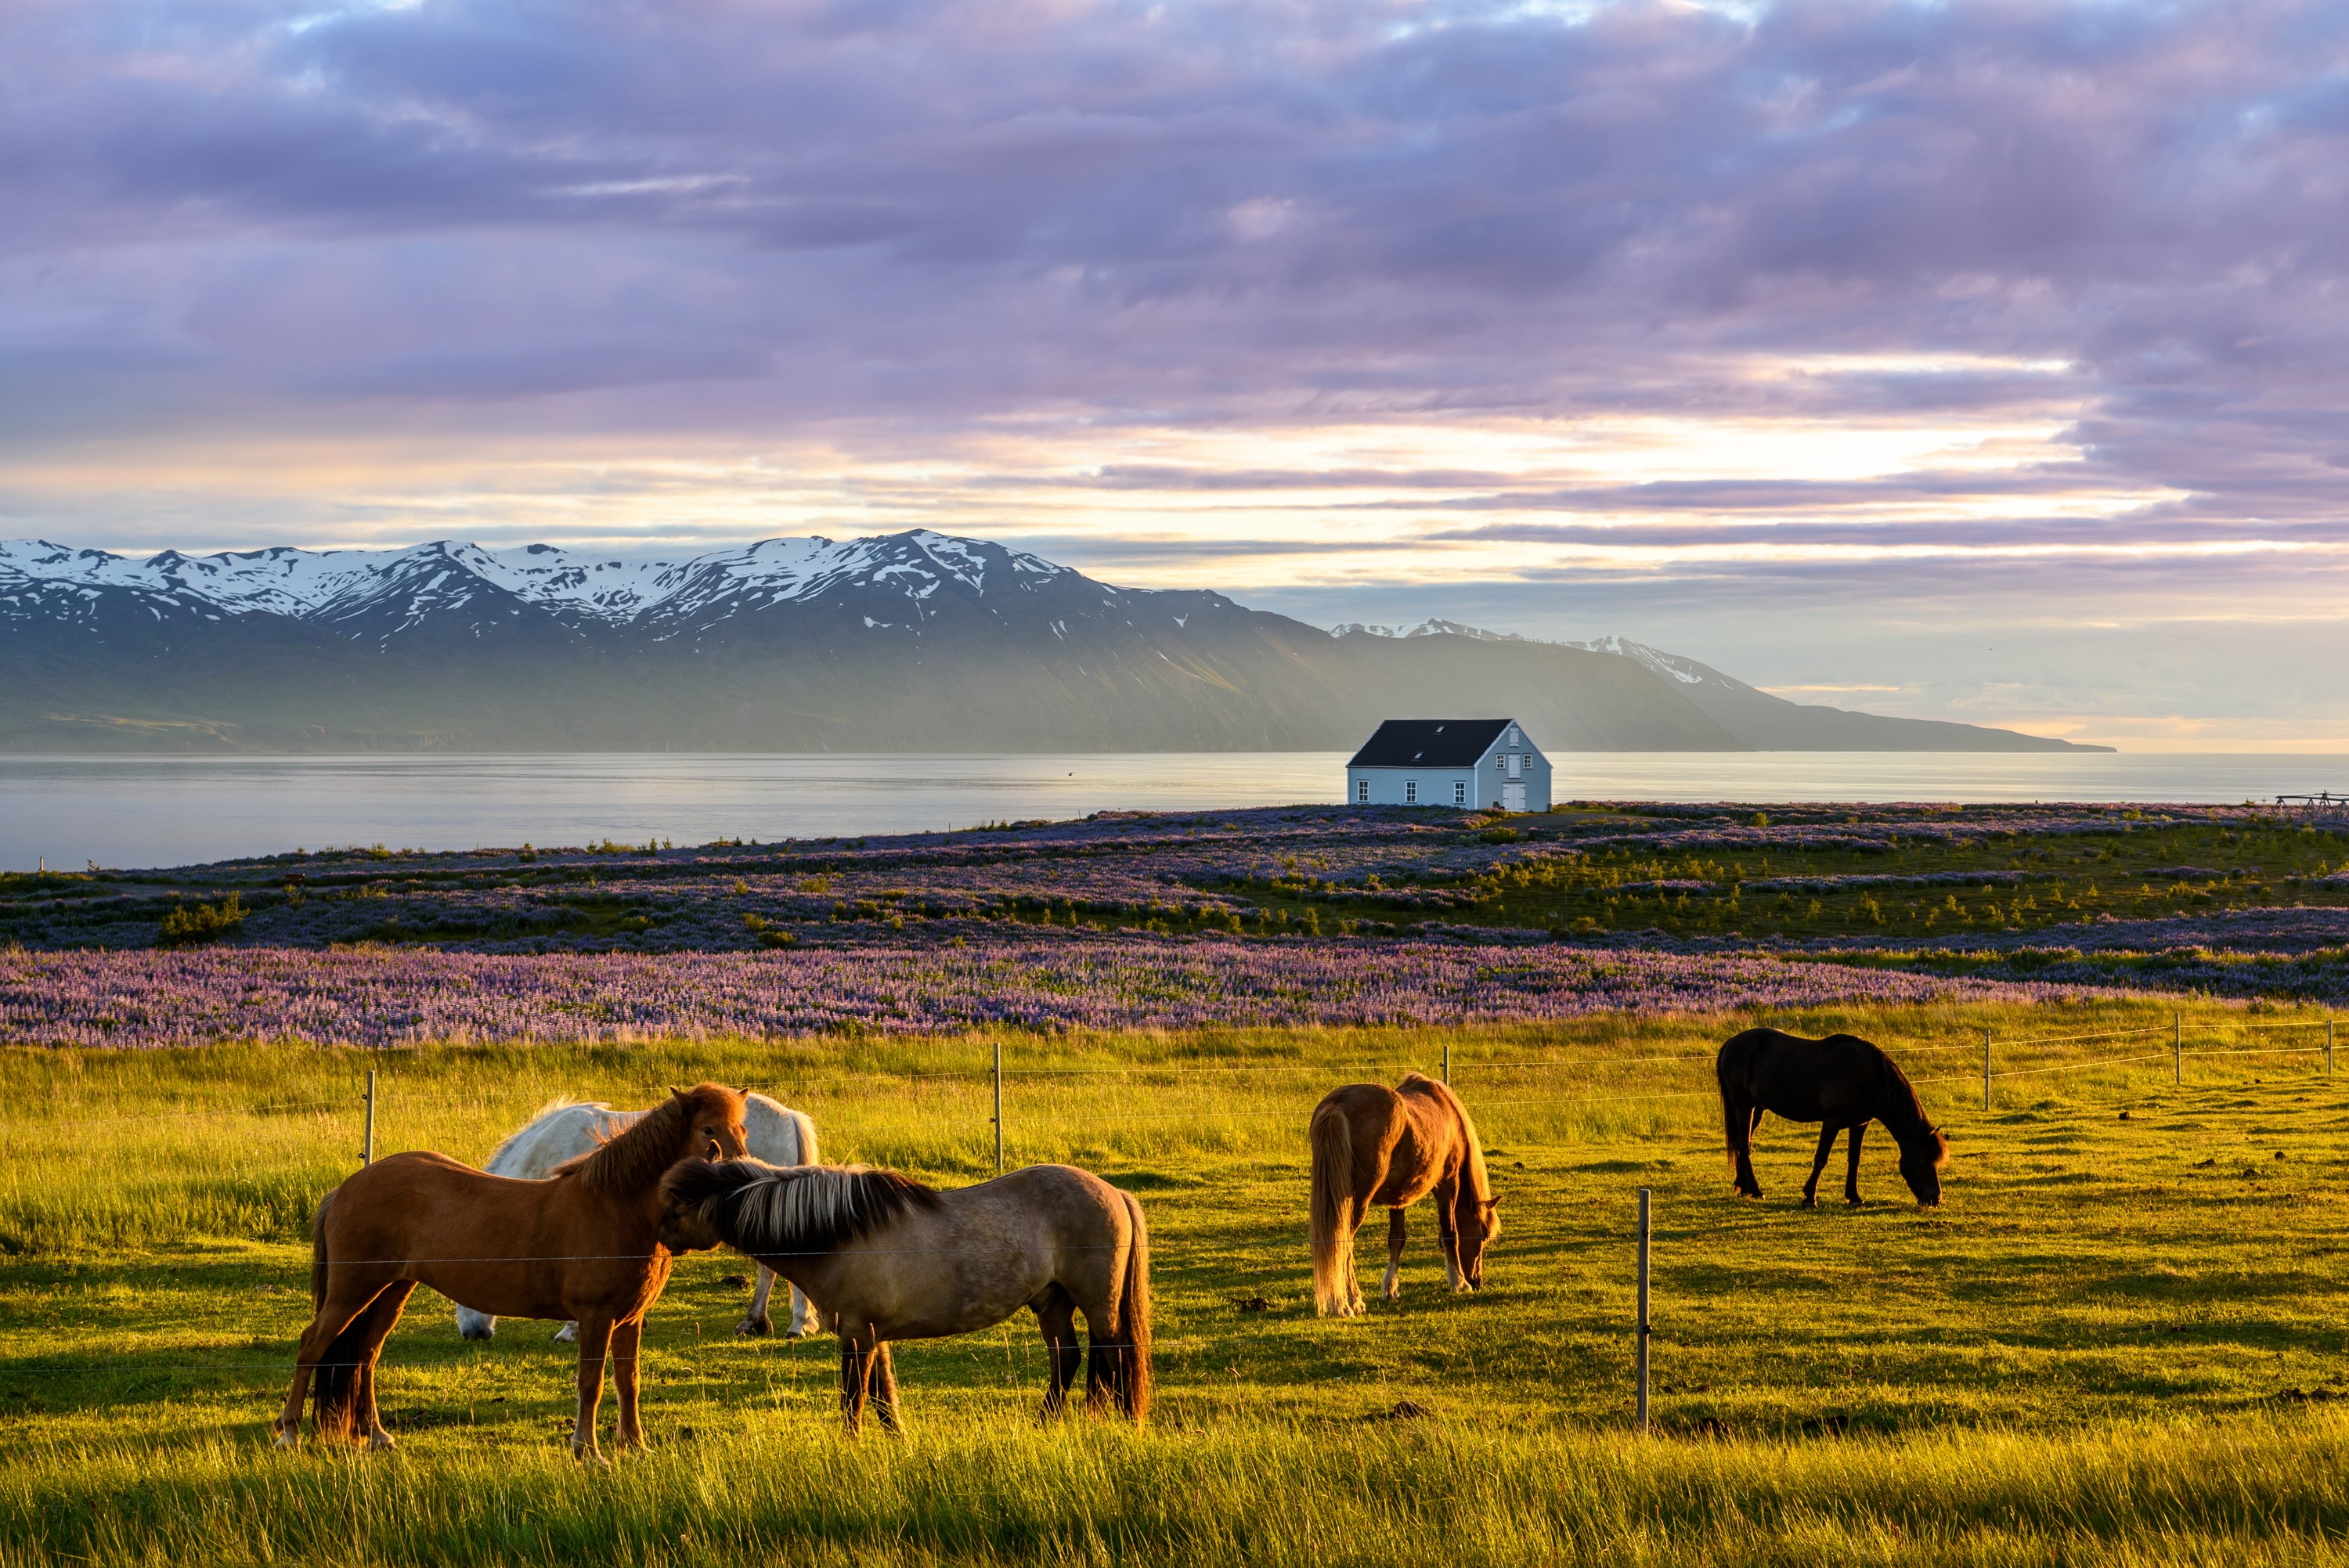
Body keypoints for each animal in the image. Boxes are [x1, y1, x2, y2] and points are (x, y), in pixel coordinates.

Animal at [272, 1083, 749, 1461]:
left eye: (742, 1130)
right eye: (708, 1130)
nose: (741, 1176)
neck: (616, 1206)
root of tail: (345, 1188)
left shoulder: (630, 1319)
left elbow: (627, 1382)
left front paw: (635, 1445)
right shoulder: (596, 1317)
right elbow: (591, 1384)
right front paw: (587, 1451)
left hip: (392, 1290)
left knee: (366, 1357)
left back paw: (377, 1436)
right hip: (352, 1291)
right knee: (312, 1345)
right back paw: (289, 1433)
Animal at [659, 1159, 1151, 1434]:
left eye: (675, 1207)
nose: (658, 1239)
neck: (837, 1233)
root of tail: (1114, 1191)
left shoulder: (856, 1335)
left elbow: (854, 1402)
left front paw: (850, 1449)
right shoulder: (872, 1335)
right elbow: (883, 1398)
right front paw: (899, 1444)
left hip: (1098, 1303)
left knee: (1118, 1357)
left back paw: (1129, 1426)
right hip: (1052, 1301)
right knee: (1069, 1358)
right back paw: (1045, 1425)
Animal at [1308, 1072, 1498, 1318]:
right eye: (1484, 1235)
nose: (1477, 1281)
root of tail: (1338, 1104)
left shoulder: (1398, 1199)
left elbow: (1397, 1239)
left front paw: (1390, 1288)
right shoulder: (1448, 1185)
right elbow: (1451, 1233)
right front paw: (1458, 1282)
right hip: (1356, 1204)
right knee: (1344, 1243)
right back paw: (1349, 1302)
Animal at [1716, 1028, 1949, 1208]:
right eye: (1925, 1160)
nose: (1935, 1199)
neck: (1868, 1075)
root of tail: (1731, 1042)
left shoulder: (1860, 1124)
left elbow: (1854, 1159)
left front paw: (1854, 1197)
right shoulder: (1832, 1122)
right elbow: (1821, 1158)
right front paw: (1809, 1197)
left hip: (1757, 1109)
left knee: (1742, 1143)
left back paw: (1743, 1187)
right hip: (1743, 1105)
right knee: (1744, 1145)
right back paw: (1756, 1190)